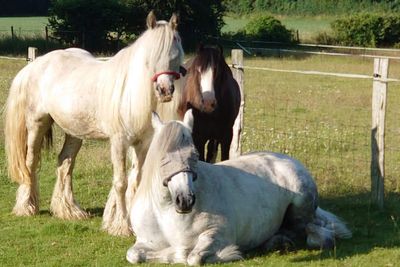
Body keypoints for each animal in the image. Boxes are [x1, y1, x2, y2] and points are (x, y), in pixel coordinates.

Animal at [4, 11, 184, 237]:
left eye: (175, 55)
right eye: (150, 58)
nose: (165, 91)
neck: (130, 92)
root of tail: (34, 65)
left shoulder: (142, 144)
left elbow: (137, 180)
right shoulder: (119, 142)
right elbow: (121, 183)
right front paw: (122, 226)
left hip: (74, 132)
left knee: (65, 163)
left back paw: (69, 211)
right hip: (37, 124)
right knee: (30, 162)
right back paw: (27, 207)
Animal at [126, 111, 352, 266]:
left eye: (195, 155)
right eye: (163, 159)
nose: (185, 200)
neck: (165, 212)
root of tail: (291, 160)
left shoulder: (216, 234)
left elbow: (192, 257)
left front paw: (228, 253)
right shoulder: (144, 241)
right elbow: (134, 255)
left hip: (301, 209)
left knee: (313, 231)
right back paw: (277, 242)